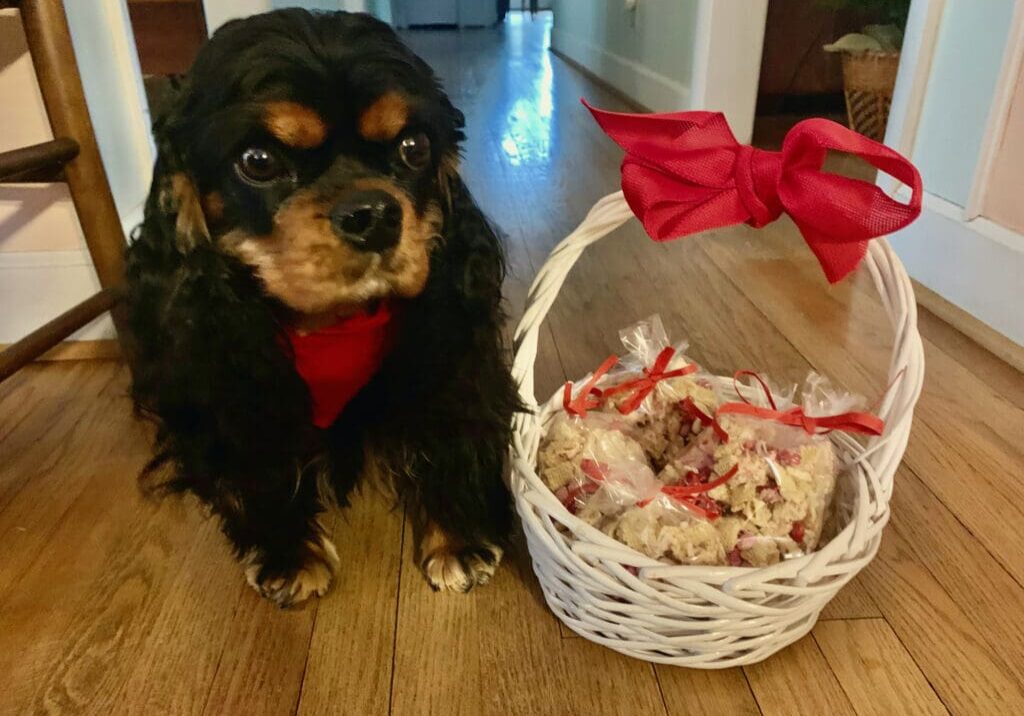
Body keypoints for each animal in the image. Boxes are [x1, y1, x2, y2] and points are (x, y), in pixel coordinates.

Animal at [124, 8, 520, 606]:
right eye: (258, 161)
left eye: (414, 148)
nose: (373, 214)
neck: (336, 322)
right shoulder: (230, 395)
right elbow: (257, 474)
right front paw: (289, 556)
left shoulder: (452, 368)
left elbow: (448, 436)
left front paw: (459, 540)